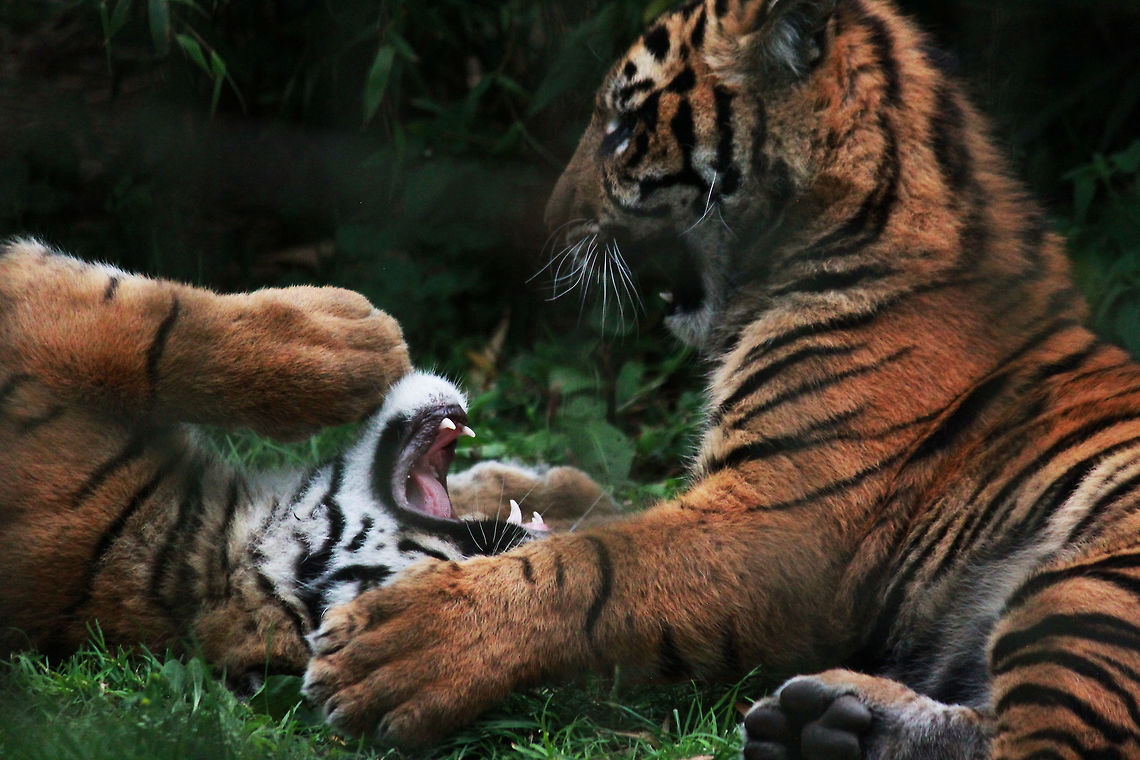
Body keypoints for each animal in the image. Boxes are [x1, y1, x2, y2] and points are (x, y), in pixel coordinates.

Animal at [299, 0, 1140, 756]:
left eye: (624, 129)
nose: (547, 221)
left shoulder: (781, 520)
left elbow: (595, 564)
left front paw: (399, 646)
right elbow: (593, 507)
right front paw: (477, 487)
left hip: (1084, 590)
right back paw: (824, 724)